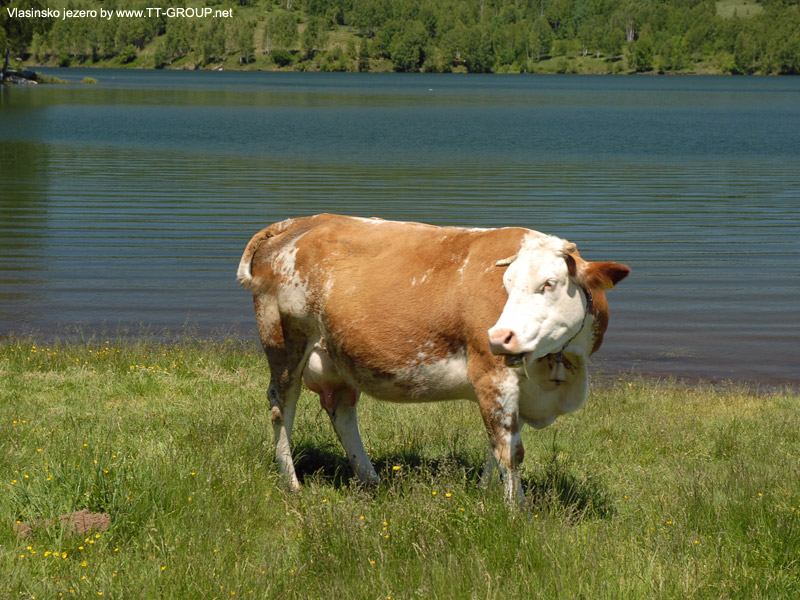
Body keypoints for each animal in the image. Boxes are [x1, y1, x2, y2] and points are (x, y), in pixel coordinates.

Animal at [238, 213, 632, 504]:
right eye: (505, 284)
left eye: (549, 283)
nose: (499, 336)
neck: (556, 373)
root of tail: (298, 222)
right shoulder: (491, 373)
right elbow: (510, 450)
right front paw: (516, 510)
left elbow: (496, 443)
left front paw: (486, 492)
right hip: (285, 344)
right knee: (282, 407)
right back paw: (292, 483)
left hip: (337, 357)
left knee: (343, 412)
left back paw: (370, 480)